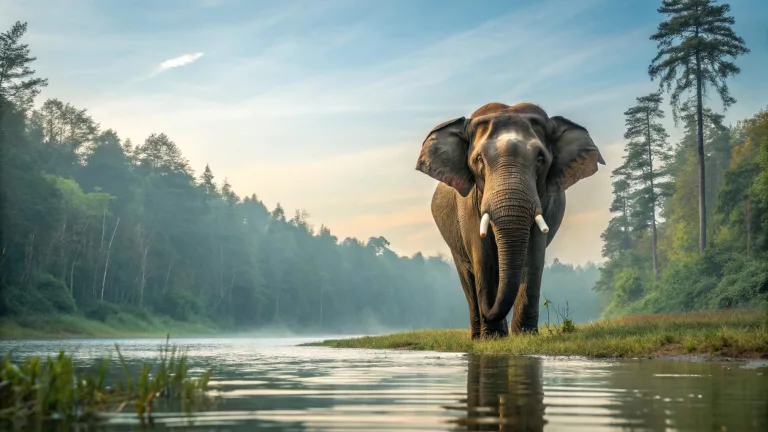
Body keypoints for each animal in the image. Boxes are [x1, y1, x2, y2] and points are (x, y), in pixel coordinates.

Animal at [415, 102, 604, 338]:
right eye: (479, 159)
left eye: (540, 158)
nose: (489, 313)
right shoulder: (468, 205)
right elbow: (482, 255)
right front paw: (492, 337)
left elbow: (533, 256)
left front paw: (524, 335)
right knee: (467, 275)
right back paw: (478, 336)